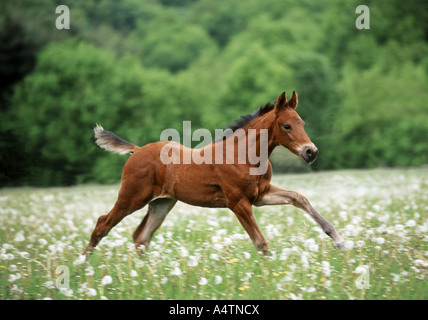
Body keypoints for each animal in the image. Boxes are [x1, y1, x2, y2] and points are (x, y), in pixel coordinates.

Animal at [82, 90, 346, 260]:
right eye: (287, 125)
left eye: (302, 122)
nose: (311, 152)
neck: (243, 155)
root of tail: (136, 150)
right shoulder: (238, 202)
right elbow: (261, 242)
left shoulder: (260, 195)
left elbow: (299, 198)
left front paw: (339, 241)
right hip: (131, 197)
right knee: (102, 224)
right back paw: (81, 264)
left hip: (162, 203)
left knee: (141, 236)